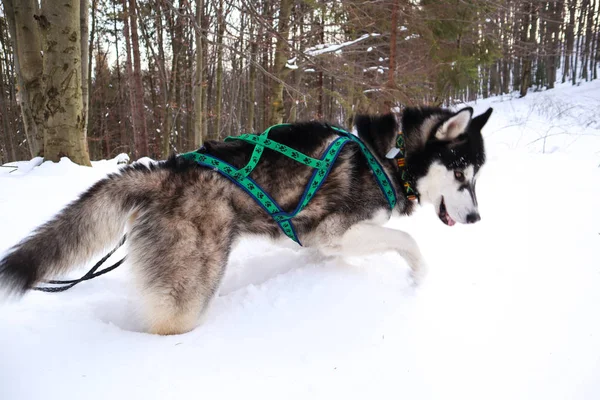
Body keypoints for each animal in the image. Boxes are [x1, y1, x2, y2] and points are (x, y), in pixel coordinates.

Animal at [1, 106, 492, 334]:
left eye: (477, 174)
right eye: (460, 172)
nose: (475, 218)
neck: (391, 156)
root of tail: (161, 172)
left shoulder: (323, 240)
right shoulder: (335, 230)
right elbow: (408, 241)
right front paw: (418, 280)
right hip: (193, 284)